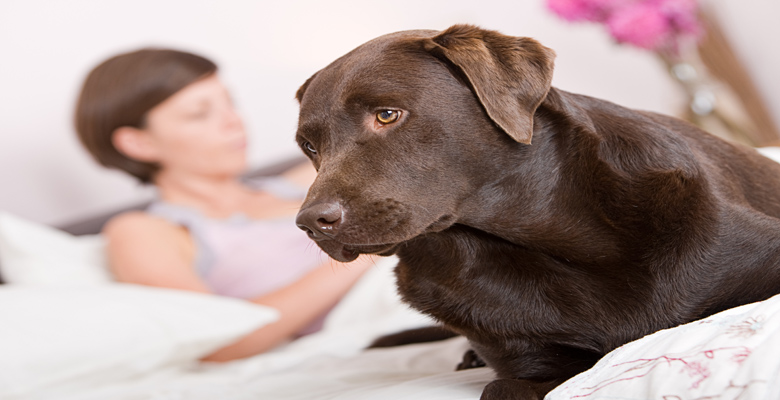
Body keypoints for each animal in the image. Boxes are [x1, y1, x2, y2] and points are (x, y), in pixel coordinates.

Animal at [290, 25, 780, 400]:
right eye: (310, 146)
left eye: (388, 115)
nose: (311, 223)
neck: (548, 240)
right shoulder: (528, 362)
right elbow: (505, 385)